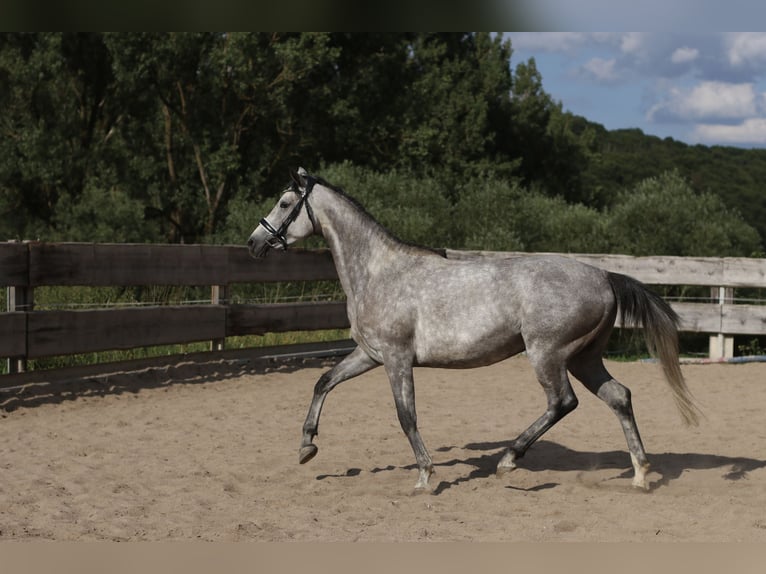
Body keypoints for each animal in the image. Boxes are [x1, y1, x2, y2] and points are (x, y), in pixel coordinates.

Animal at [248, 169, 704, 492]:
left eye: (285, 202)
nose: (254, 243)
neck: (378, 272)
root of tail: (605, 276)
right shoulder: (370, 355)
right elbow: (324, 381)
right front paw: (307, 447)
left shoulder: (396, 358)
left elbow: (406, 416)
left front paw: (425, 477)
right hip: (584, 358)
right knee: (619, 397)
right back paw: (640, 475)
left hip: (547, 354)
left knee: (563, 402)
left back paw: (509, 460)